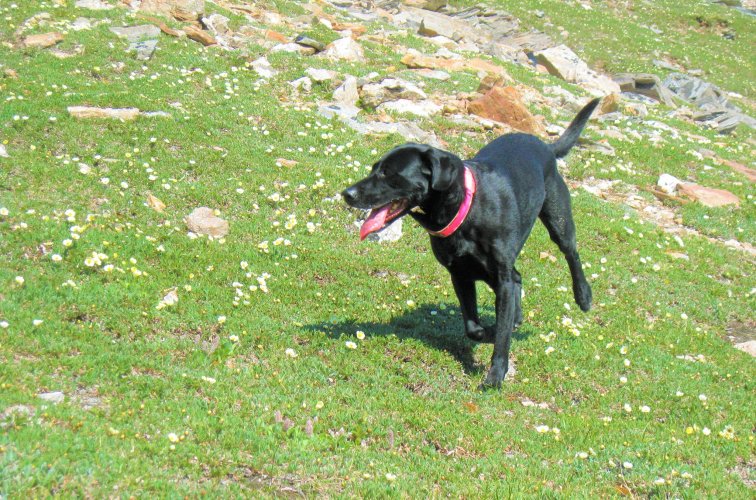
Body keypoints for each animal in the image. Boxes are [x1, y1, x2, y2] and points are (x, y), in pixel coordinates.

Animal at [346, 97, 600, 386]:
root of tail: (546, 145)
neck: (465, 210)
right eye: (374, 169)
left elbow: (501, 333)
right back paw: (516, 316)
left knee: (570, 253)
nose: (347, 193)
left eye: (388, 173)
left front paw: (495, 375)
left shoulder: (498, 277)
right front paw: (490, 331)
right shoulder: (461, 274)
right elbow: (473, 326)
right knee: (517, 277)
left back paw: (583, 296)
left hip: (557, 219)